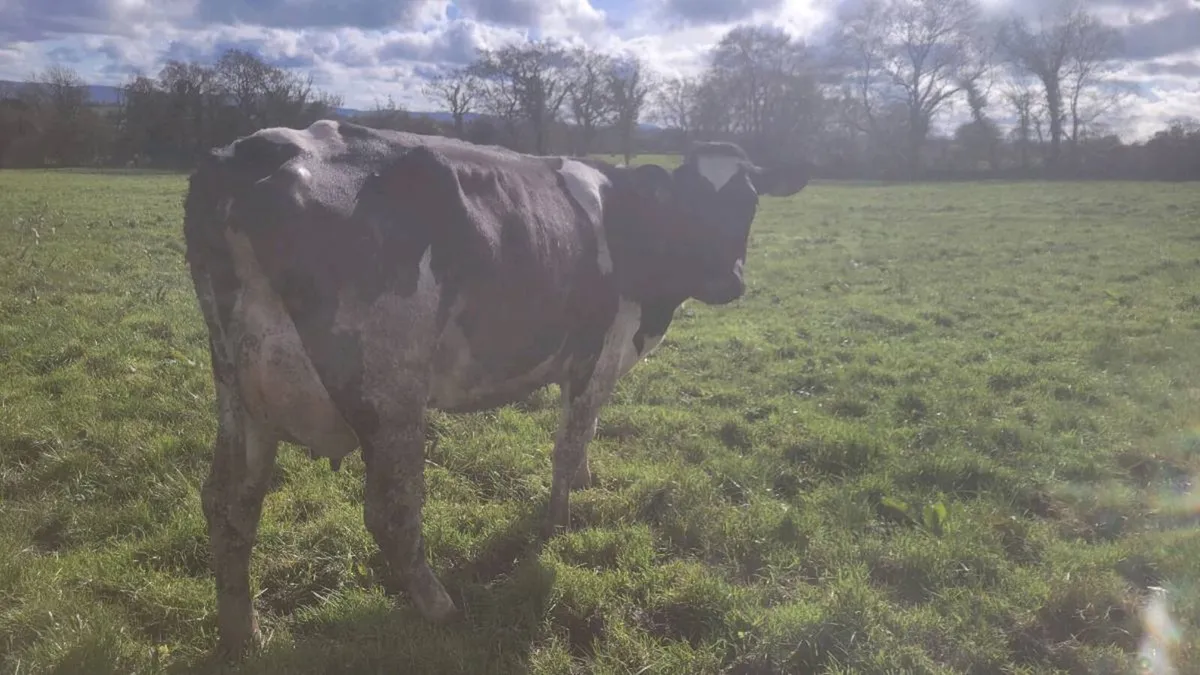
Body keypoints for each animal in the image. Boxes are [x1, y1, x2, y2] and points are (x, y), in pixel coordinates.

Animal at [182, 119, 810, 656]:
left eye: (749, 201)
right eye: (692, 203)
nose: (727, 282)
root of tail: (256, 150)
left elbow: (586, 433)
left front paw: (584, 484)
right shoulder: (596, 353)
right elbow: (569, 443)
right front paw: (556, 524)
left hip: (238, 385)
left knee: (228, 504)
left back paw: (242, 632)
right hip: (388, 388)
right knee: (390, 513)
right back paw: (440, 607)